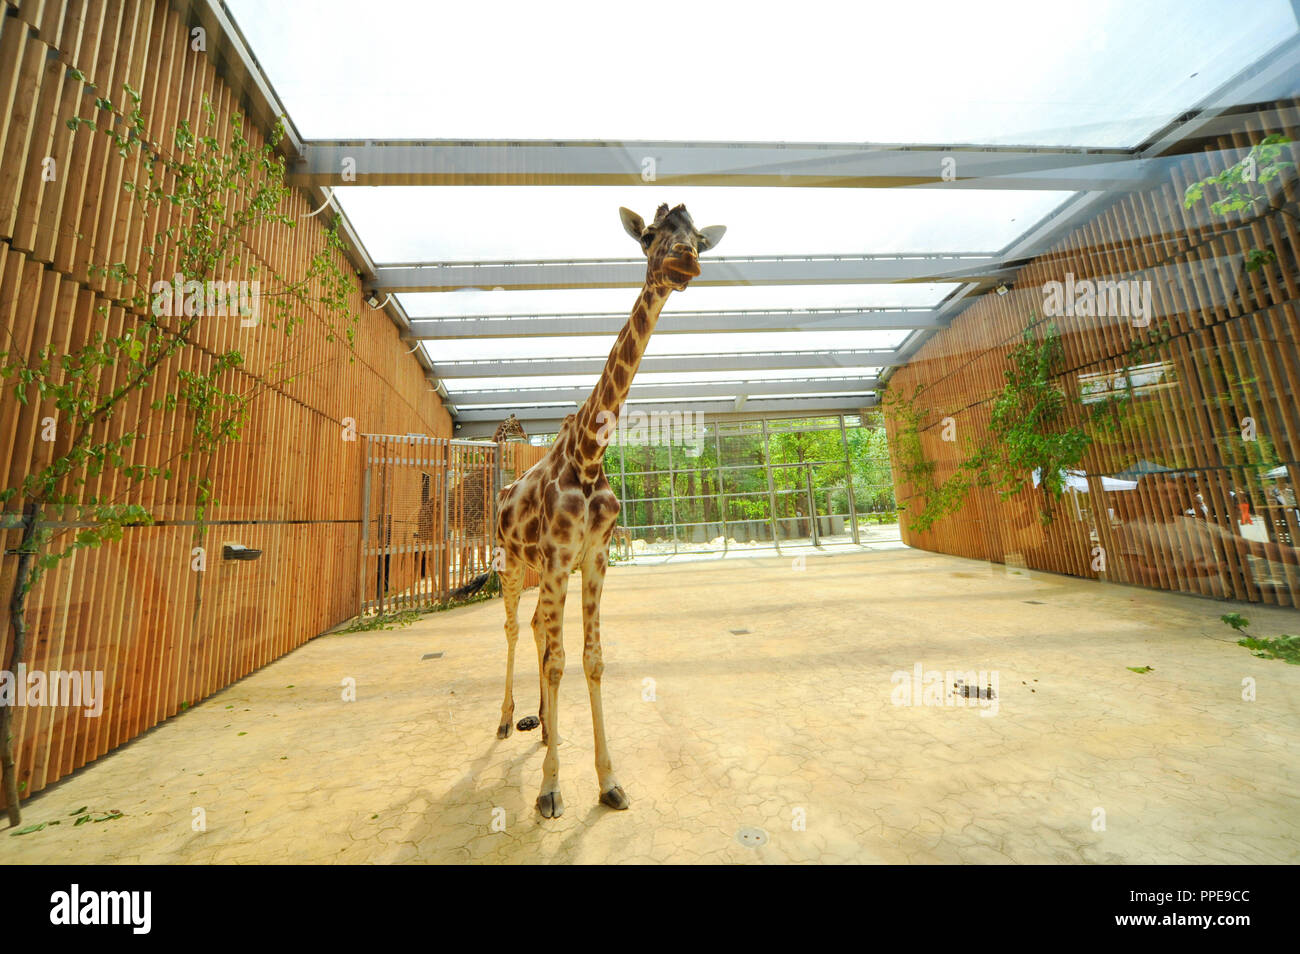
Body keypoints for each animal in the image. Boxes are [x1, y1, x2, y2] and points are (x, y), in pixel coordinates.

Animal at [483, 204, 725, 818]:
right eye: (649, 236)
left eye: (698, 238)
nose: (684, 262)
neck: (590, 457)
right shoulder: (555, 558)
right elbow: (558, 659)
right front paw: (549, 789)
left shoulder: (592, 559)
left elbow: (588, 659)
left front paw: (607, 781)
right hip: (512, 564)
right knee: (515, 630)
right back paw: (506, 720)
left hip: (546, 572)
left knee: (539, 631)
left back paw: (545, 726)